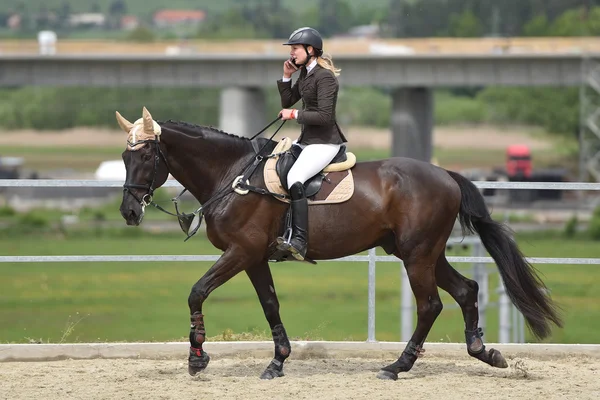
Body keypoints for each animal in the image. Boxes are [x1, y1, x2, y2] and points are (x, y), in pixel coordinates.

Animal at [117, 107, 564, 382]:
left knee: (430, 305)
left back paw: (397, 366)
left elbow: (197, 292)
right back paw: (483, 351)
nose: (129, 212)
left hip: (417, 255)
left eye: (145, 158)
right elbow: (270, 305)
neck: (234, 175)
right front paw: (277, 362)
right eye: (124, 158)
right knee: (466, 291)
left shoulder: (240, 252)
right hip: (421, 252)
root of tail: (446, 175)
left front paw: (197, 358)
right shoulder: (254, 257)